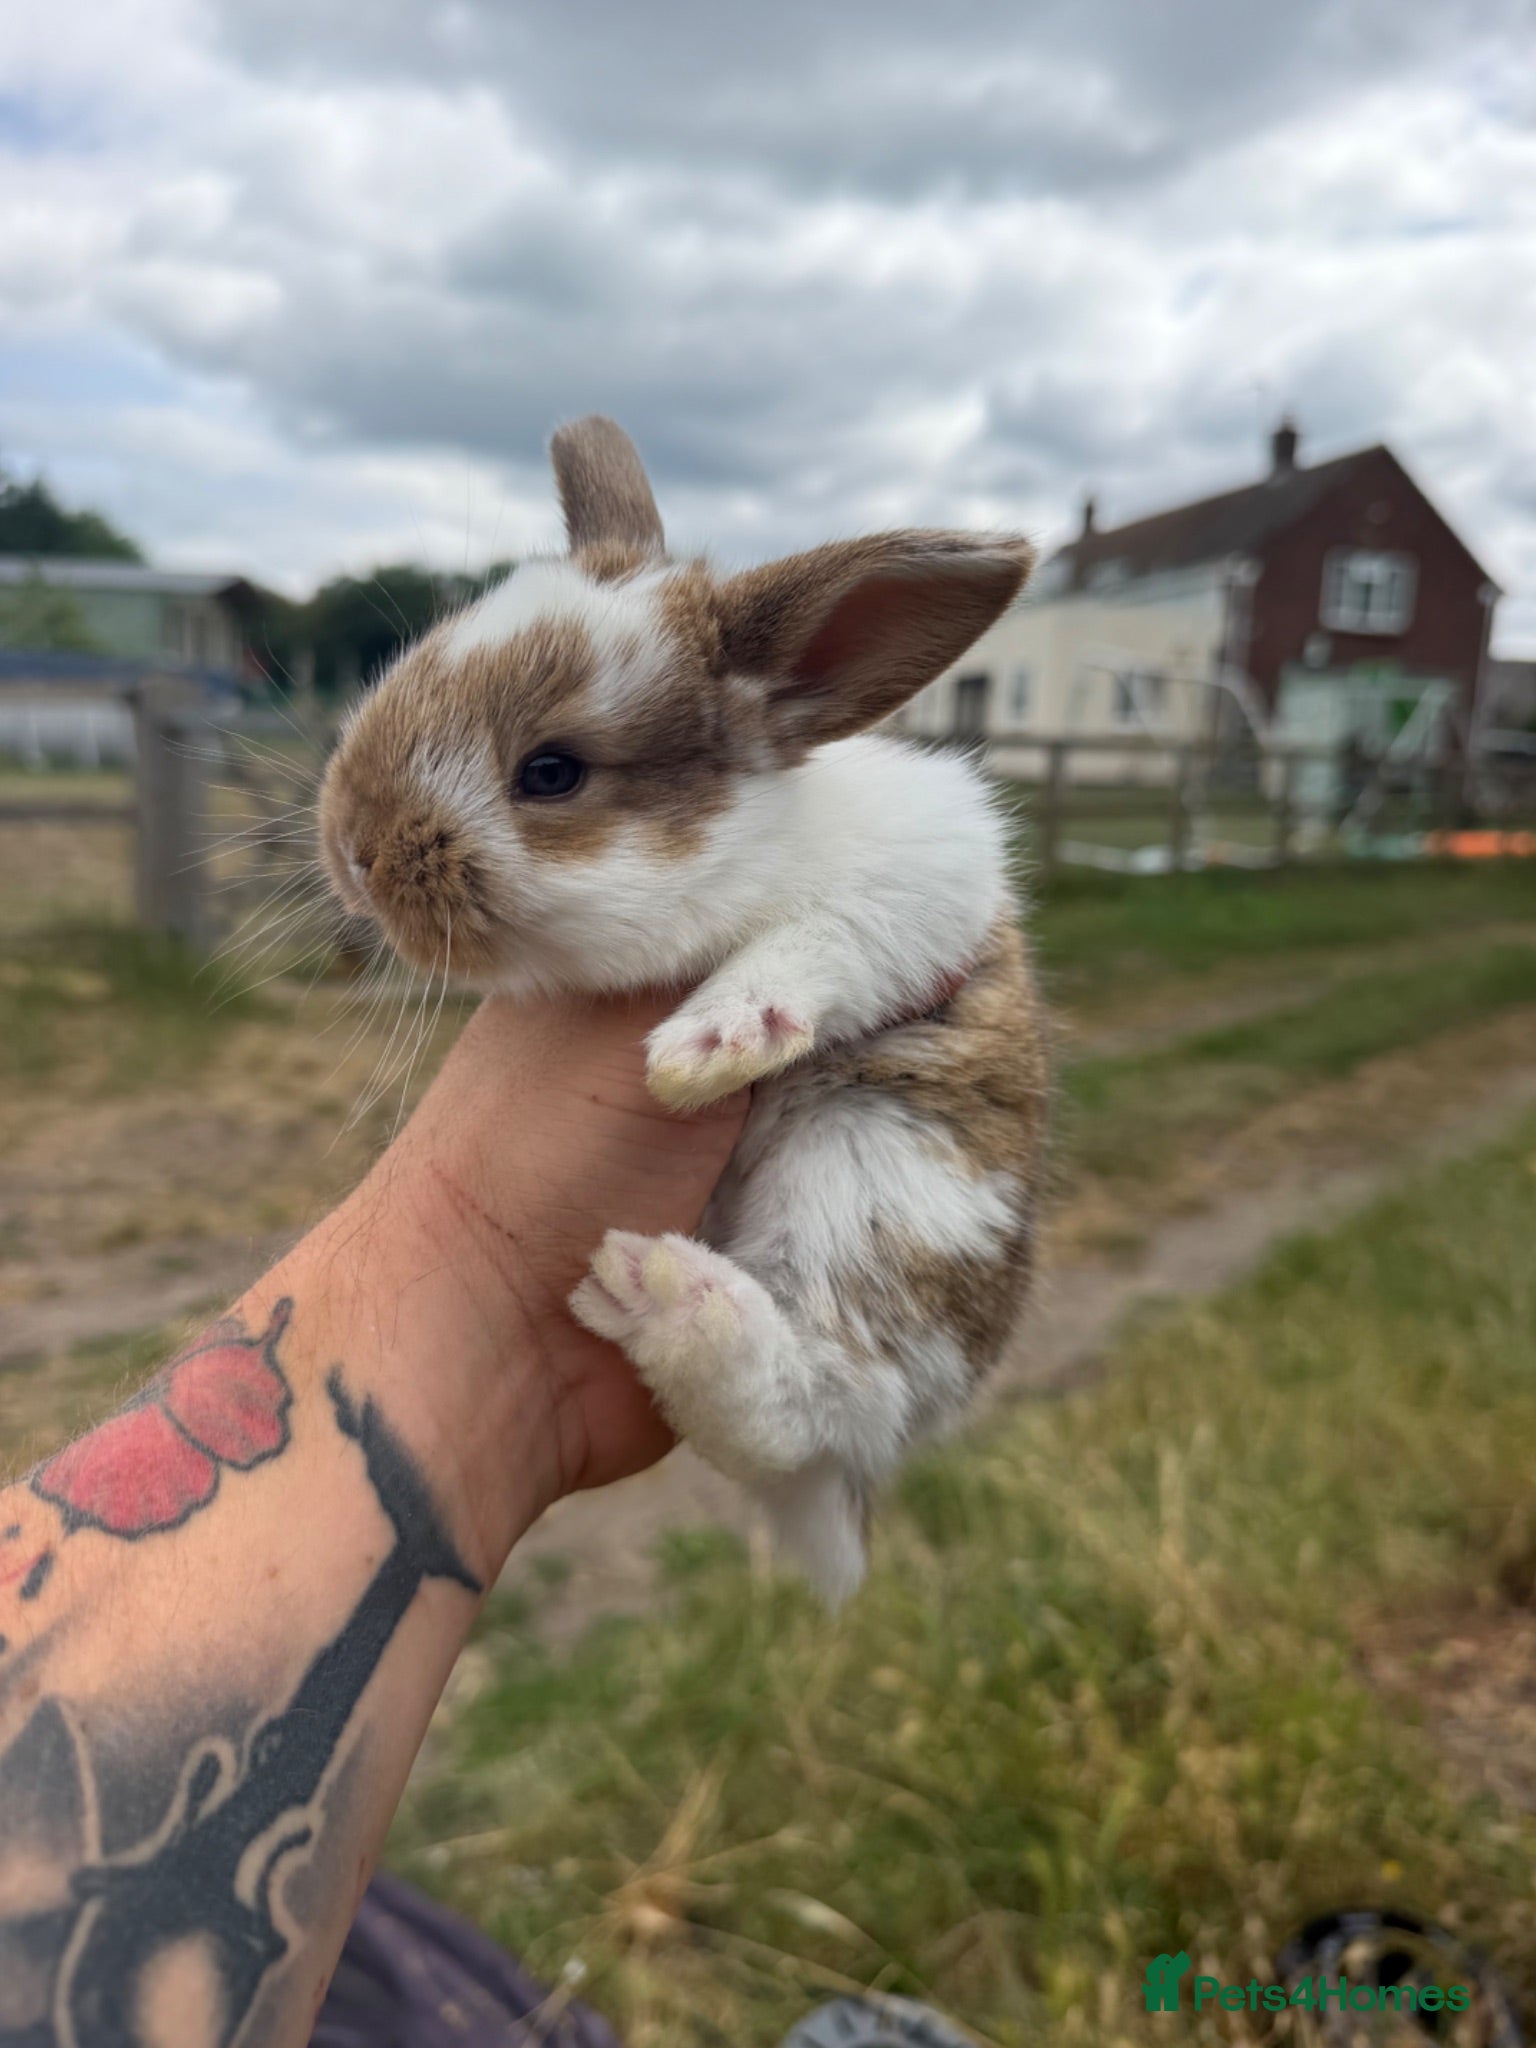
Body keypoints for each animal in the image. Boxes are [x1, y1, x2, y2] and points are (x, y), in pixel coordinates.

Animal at [318, 416, 1049, 1604]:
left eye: (552, 773)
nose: (353, 850)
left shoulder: (927, 888)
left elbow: (824, 940)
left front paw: (715, 1038)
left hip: (875, 1180)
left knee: (815, 1396)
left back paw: (667, 1294)